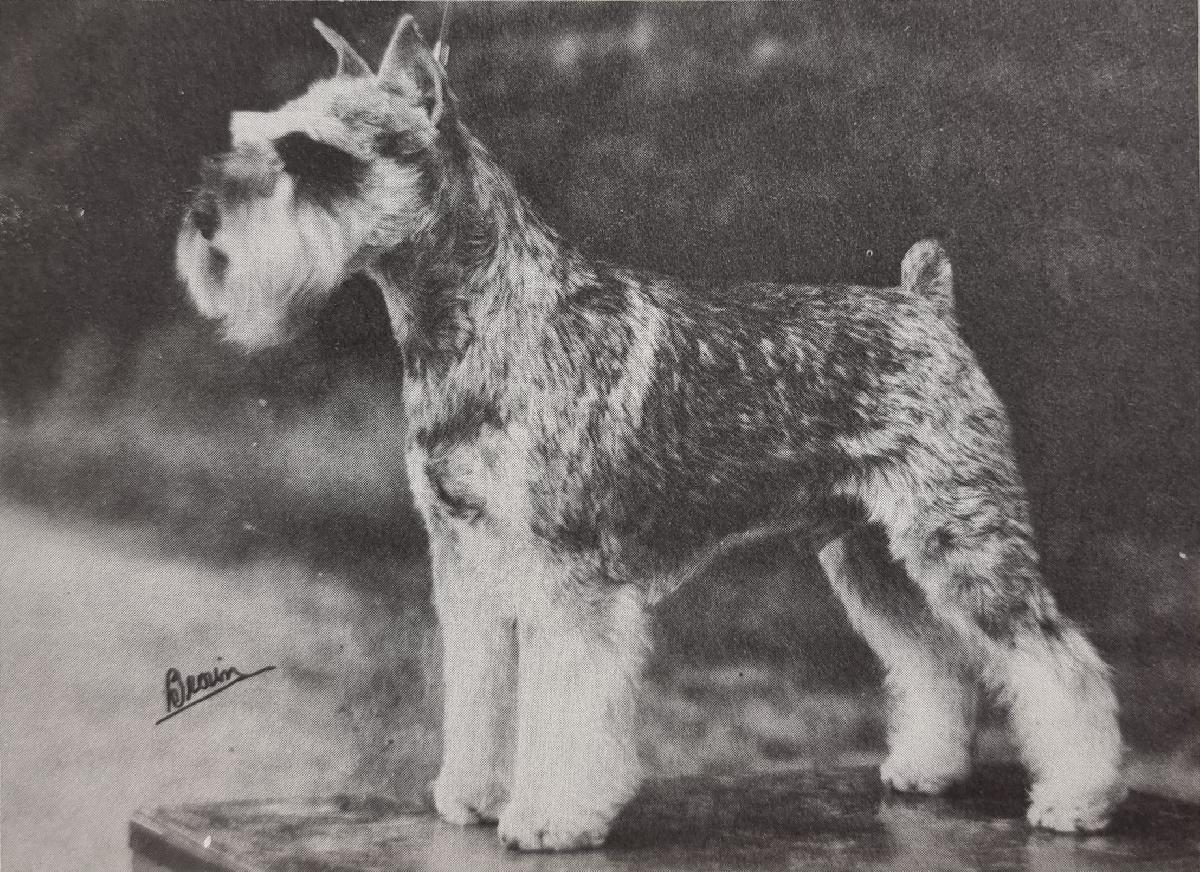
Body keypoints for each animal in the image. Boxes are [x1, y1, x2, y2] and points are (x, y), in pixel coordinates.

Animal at [176, 14, 1126, 851]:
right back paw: (929, 767)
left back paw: (1078, 798)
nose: (203, 224)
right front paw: (471, 795)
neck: (488, 319)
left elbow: (561, 708)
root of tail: (925, 306)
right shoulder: (467, 566)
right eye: (257, 136)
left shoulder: (569, 583)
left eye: (310, 155)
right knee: (936, 659)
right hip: (872, 556)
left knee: (1055, 657)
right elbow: (478, 688)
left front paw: (549, 818)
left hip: (961, 536)